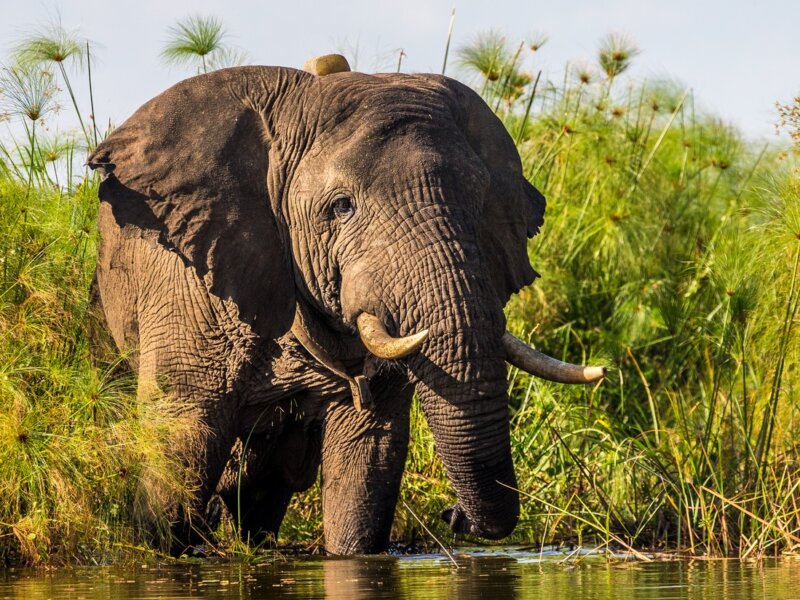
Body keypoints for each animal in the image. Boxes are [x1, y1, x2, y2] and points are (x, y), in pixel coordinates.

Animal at [86, 54, 604, 555]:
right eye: (341, 207)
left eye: (480, 203)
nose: (453, 515)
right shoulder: (186, 284)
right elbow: (181, 441)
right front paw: (160, 553)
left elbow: (367, 457)